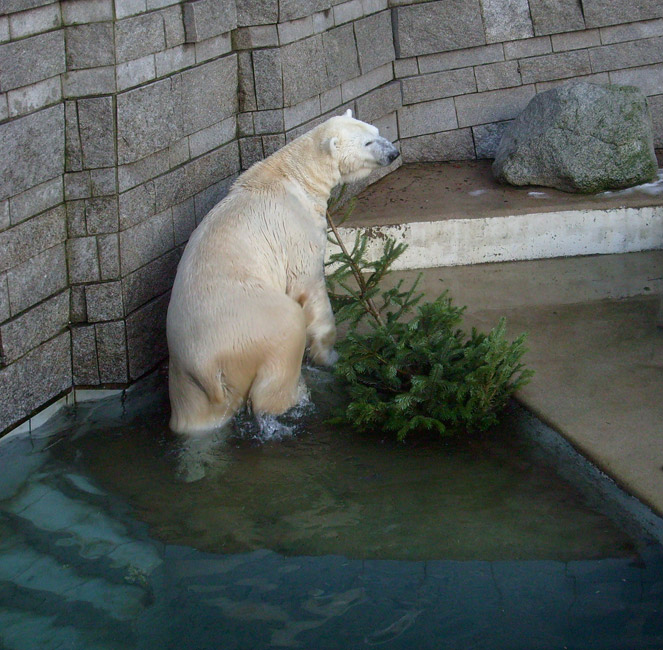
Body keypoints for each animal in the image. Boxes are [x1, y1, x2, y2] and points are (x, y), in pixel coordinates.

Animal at [167, 110, 400, 436]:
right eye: (367, 142)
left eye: (376, 131)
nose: (394, 152)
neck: (292, 174)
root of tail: (206, 365)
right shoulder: (296, 229)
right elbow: (310, 286)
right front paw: (331, 356)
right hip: (255, 325)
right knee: (286, 339)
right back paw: (294, 396)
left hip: (185, 379)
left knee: (195, 419)